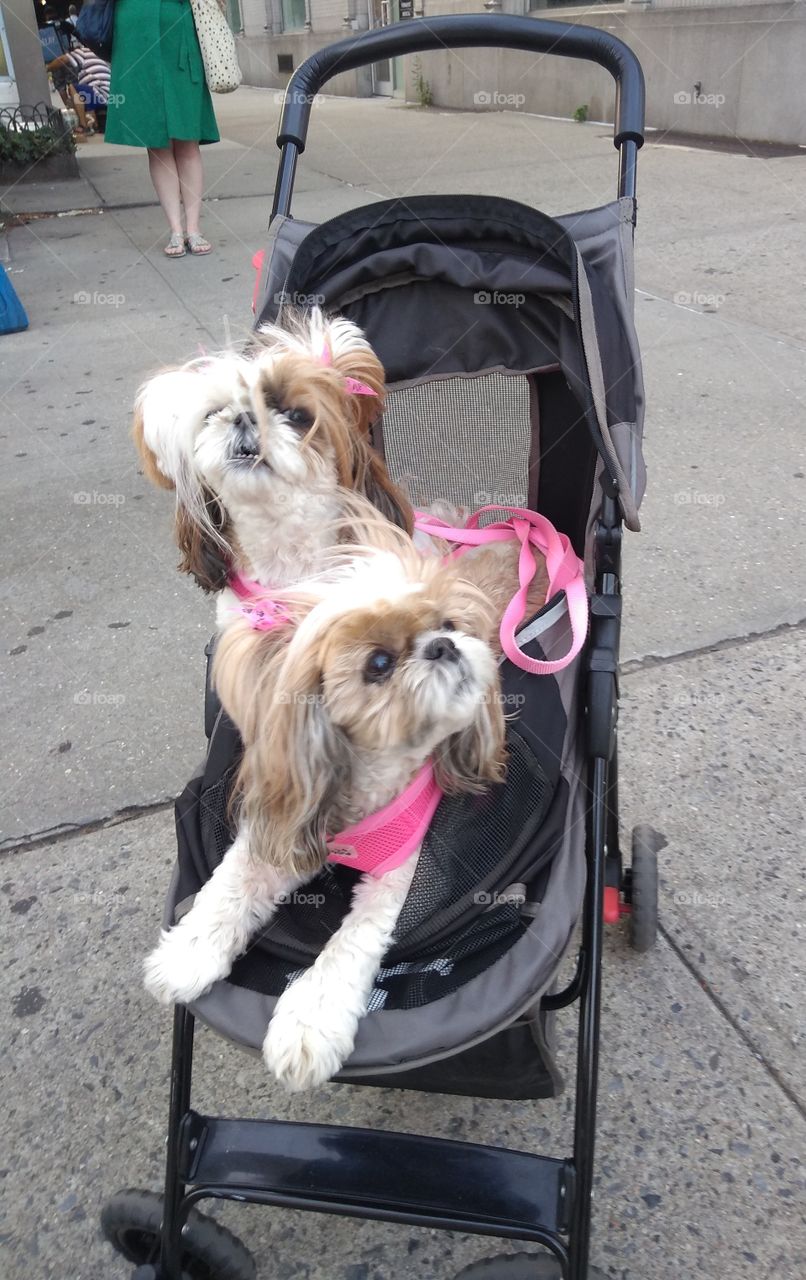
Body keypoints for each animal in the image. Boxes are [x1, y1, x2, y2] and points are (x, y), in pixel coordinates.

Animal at [144, 529, 506, 1090]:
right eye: (378, 664)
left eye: (448, 624)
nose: (444, 645)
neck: (365, 776)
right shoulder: (282, 830)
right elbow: (227, 890)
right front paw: (187, 953)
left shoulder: (398, 873)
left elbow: (351, 943)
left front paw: (310, 1021)